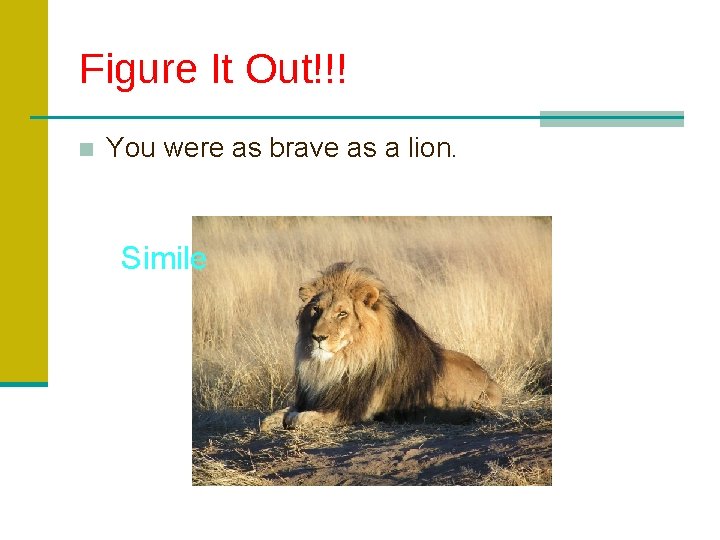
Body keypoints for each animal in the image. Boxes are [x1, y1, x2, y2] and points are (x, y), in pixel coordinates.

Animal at [260, 262, 501, 431]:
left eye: (342, 313)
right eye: (316, 310)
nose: (317, 337)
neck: (339, 363)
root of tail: (491, 380)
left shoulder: (352, 410)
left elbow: (299, 418)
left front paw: (293, 419)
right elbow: (275, 416)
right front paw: (272, 420)